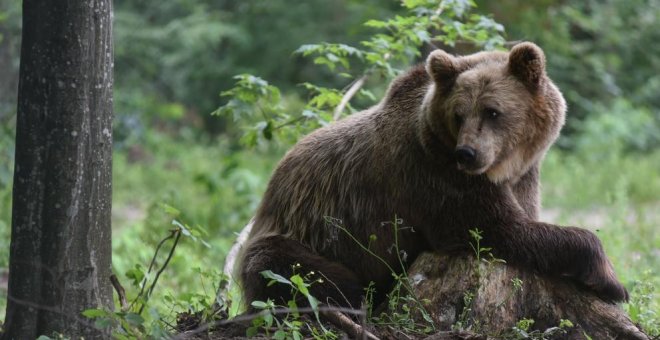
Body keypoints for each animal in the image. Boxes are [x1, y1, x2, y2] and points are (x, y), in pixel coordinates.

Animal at [238, 41, 628, 308]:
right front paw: (612, 281)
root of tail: (270, 190)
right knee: (292, 271)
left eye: (492, 111)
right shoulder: (436, 179)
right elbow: (500, 230)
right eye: (459, 114)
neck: (503, 167)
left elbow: (520, 220)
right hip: (297, 235)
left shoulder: (523, 177)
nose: (466, 153)